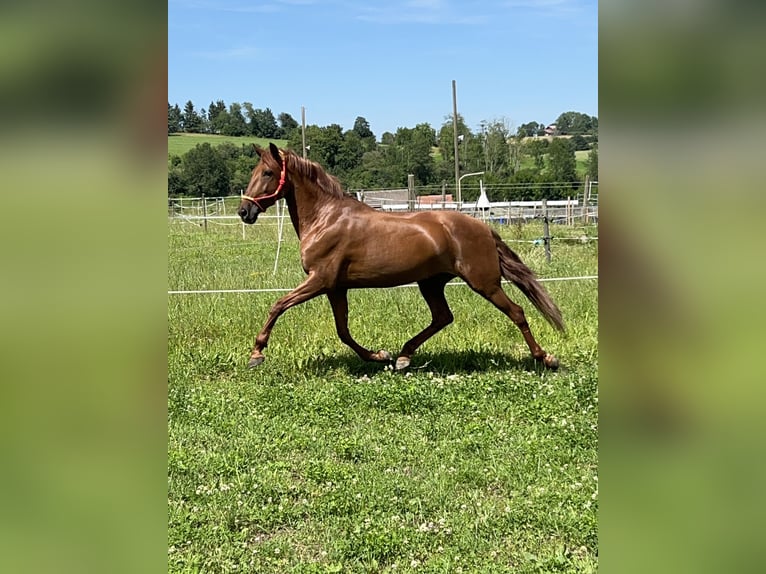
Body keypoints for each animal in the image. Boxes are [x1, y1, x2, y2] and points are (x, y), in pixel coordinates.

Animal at [237, 142, 568, 372]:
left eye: (267, 173)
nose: (244, 211)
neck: (325, 218)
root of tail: (484, 228)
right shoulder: (335, 287)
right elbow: (343, 330)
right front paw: (379, 355)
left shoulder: (320, 280)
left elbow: (278, 305)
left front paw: (256, 354)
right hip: (432, 283)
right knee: (443, 317)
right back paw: (404, 357)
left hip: (484, 283)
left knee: (516, 312)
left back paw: (546, 358)